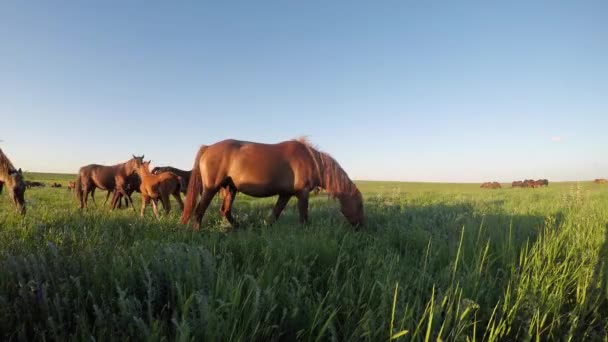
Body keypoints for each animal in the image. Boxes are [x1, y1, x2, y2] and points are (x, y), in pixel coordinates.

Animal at [178, 138, 364, 230]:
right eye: (360, 206)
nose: (361, 227)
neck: (310, 160)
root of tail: (208, 147)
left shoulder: (286, 194)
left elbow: (276, 213)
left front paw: (267, 227)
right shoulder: (302, 194)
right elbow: (303, 215)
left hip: (231, 189)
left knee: (225, 211)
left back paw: (239, 227)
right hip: (211, 188)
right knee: (200, 210)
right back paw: (197, 231)